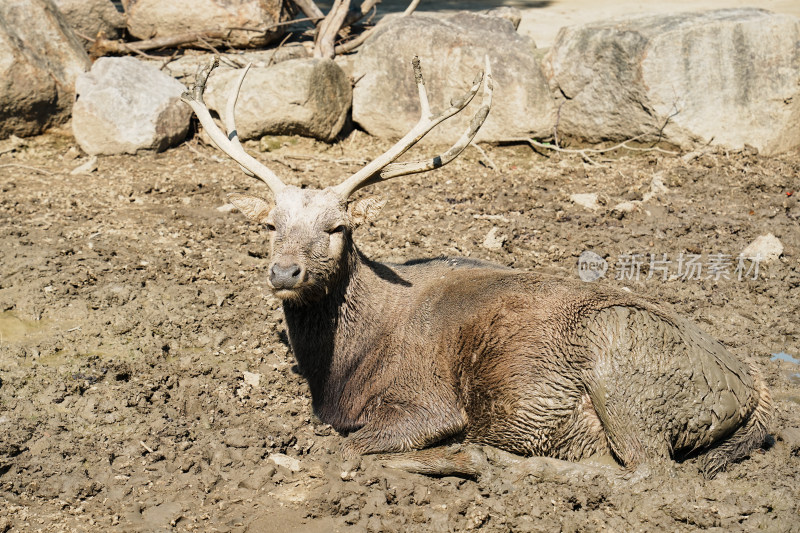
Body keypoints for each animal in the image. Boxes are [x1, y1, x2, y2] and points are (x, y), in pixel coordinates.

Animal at [180, 57, 768, 478]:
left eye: (337, 227)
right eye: (269, 224)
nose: (285, 273)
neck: (339, 374)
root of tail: (755, 393)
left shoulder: (429, 402)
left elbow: (348, 448)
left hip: (621, 366)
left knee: (651, 473)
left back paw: (482, 461)